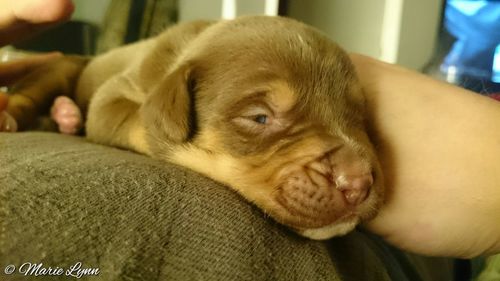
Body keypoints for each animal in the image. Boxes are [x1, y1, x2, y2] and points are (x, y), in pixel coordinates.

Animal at [1, 15, 382, 238]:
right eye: (260, 118)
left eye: (359, 117)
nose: (359, 183)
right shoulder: (110, 99)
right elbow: (142, 122)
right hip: (60, 68)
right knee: (28, 96)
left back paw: (66, 116)